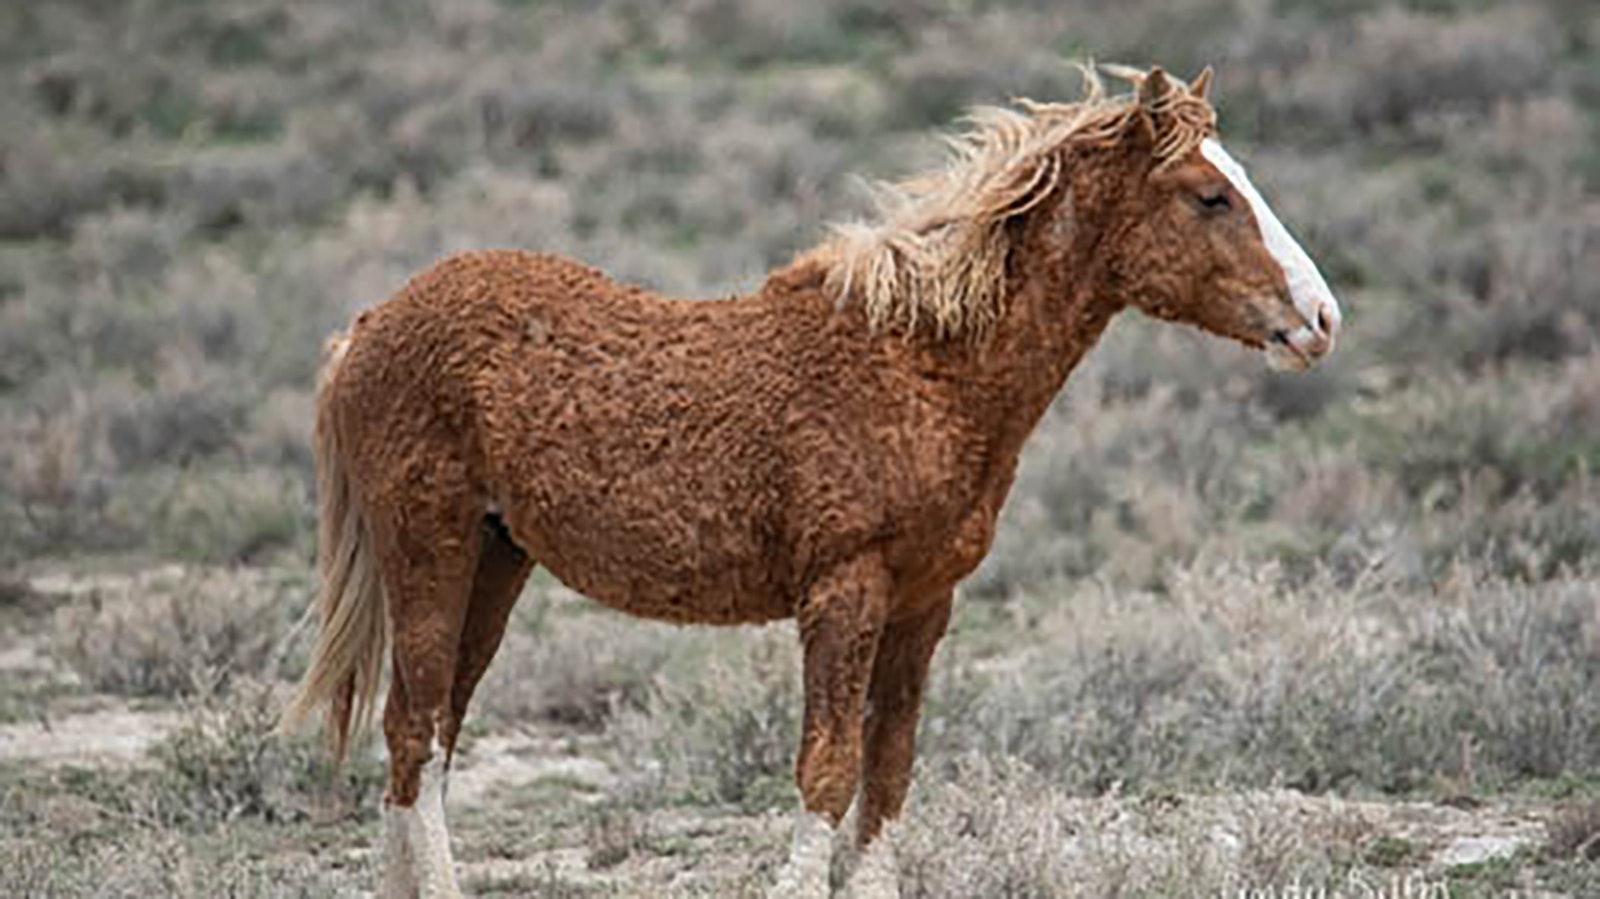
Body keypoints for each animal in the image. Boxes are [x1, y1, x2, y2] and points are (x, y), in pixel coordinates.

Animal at [284, 66, 1337, 889]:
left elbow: (887, 778)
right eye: (1208, 196)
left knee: (431, 737)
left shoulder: (922, 606)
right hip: (432, 548)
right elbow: (827, 774)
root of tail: (367, 327)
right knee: (416, 730)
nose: (1321, 319)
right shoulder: (843, 591)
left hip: (496, 562)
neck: (919, 366)